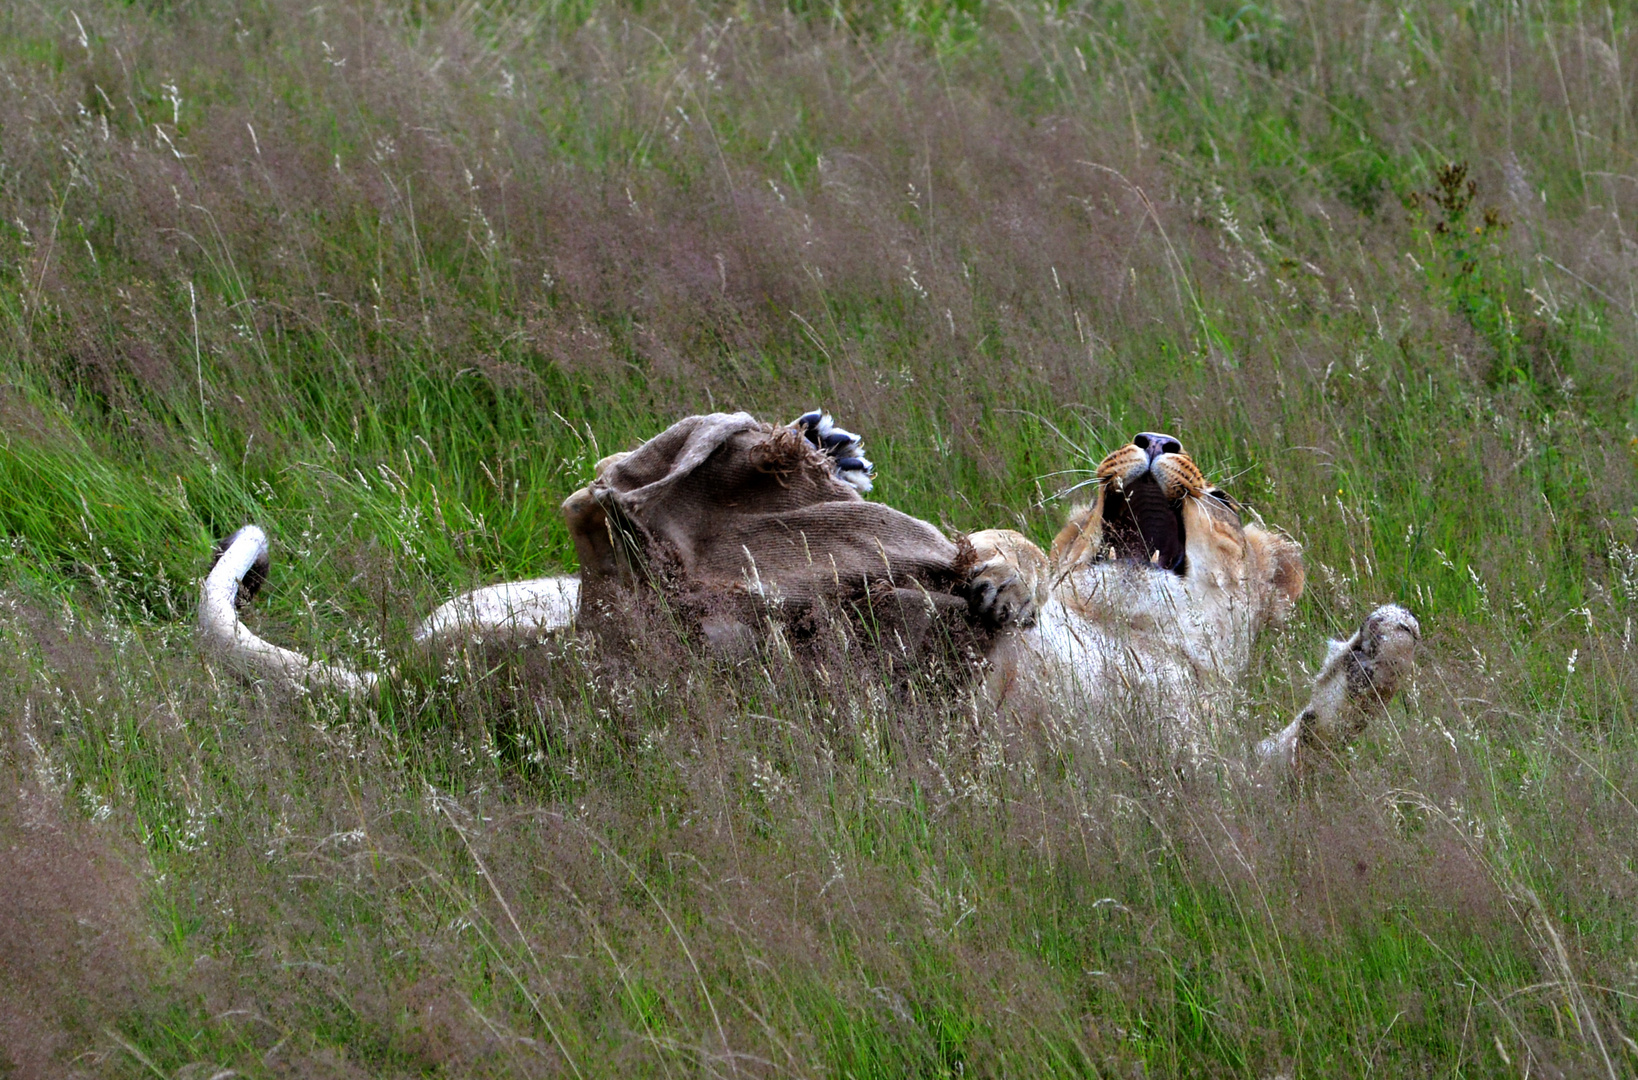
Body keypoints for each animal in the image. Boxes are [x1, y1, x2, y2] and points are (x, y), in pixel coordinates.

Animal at [198, 414, 1415, 770]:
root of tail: (402, 686)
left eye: (1225, 498)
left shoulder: (1187, 790)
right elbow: (1010, 555)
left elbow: (1304, 746)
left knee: (622, 517)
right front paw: (1003, 569)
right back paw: (811, 450)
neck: (1135, 638)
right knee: (616, 493)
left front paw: (1381, 647)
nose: (1154, 438)